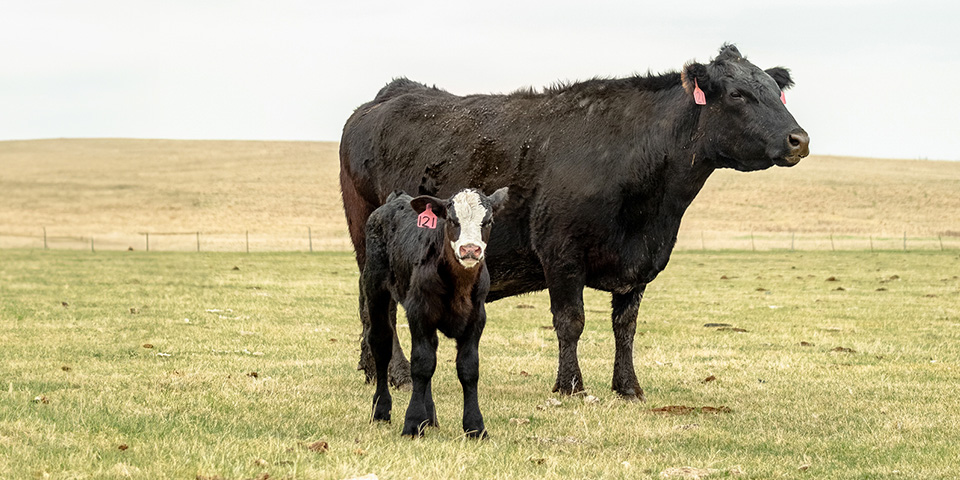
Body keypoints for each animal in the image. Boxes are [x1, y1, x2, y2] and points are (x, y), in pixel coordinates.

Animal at [340, 44, 809, 401]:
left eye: (776, 92)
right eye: (737, 94)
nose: (799, 139)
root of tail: (392, 92)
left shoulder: (637, 266)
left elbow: (625, 328)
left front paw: (628, 387)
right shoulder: (561, 254)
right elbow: (571, 322)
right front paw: (571, 386)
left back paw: (371, 368)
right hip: (369, 240)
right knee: (378, 306)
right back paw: (397, 373)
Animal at [362, 187, 509, 437]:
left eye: (487, 221)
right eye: (452, 220)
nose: (470, 249)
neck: (459, 288)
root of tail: (395, 199)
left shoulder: (476, 319)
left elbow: (468, 368)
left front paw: (475, 427)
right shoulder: (419, 312)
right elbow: (421, 365)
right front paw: (412, 423)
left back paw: (429, 417)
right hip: (376, 289)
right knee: (381, 344)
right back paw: (381, 410)